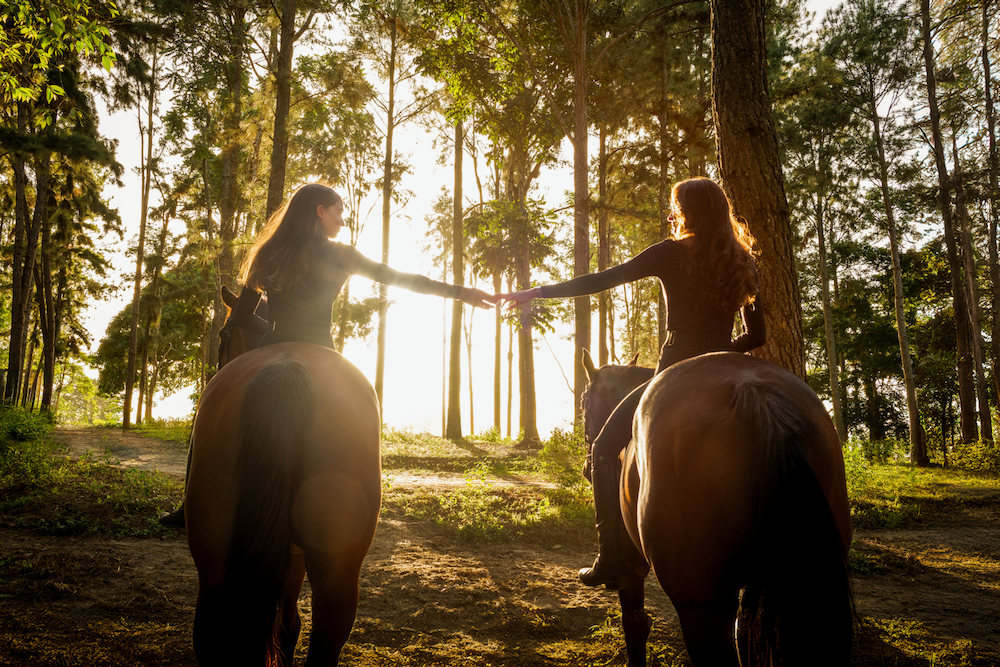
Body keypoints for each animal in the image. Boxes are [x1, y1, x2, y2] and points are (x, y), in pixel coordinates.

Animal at [186, 286, 382, 666]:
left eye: (223, 335)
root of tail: (286, 370)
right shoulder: (294, 555)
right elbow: (289, 625)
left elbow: (286, 624)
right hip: (336, 571)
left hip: (214, 562)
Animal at [581, 350, 852, 666]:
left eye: (584, 404)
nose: (587, 468)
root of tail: (755, 394)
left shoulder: (631, 562)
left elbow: (634, 623)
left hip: (701, 607)